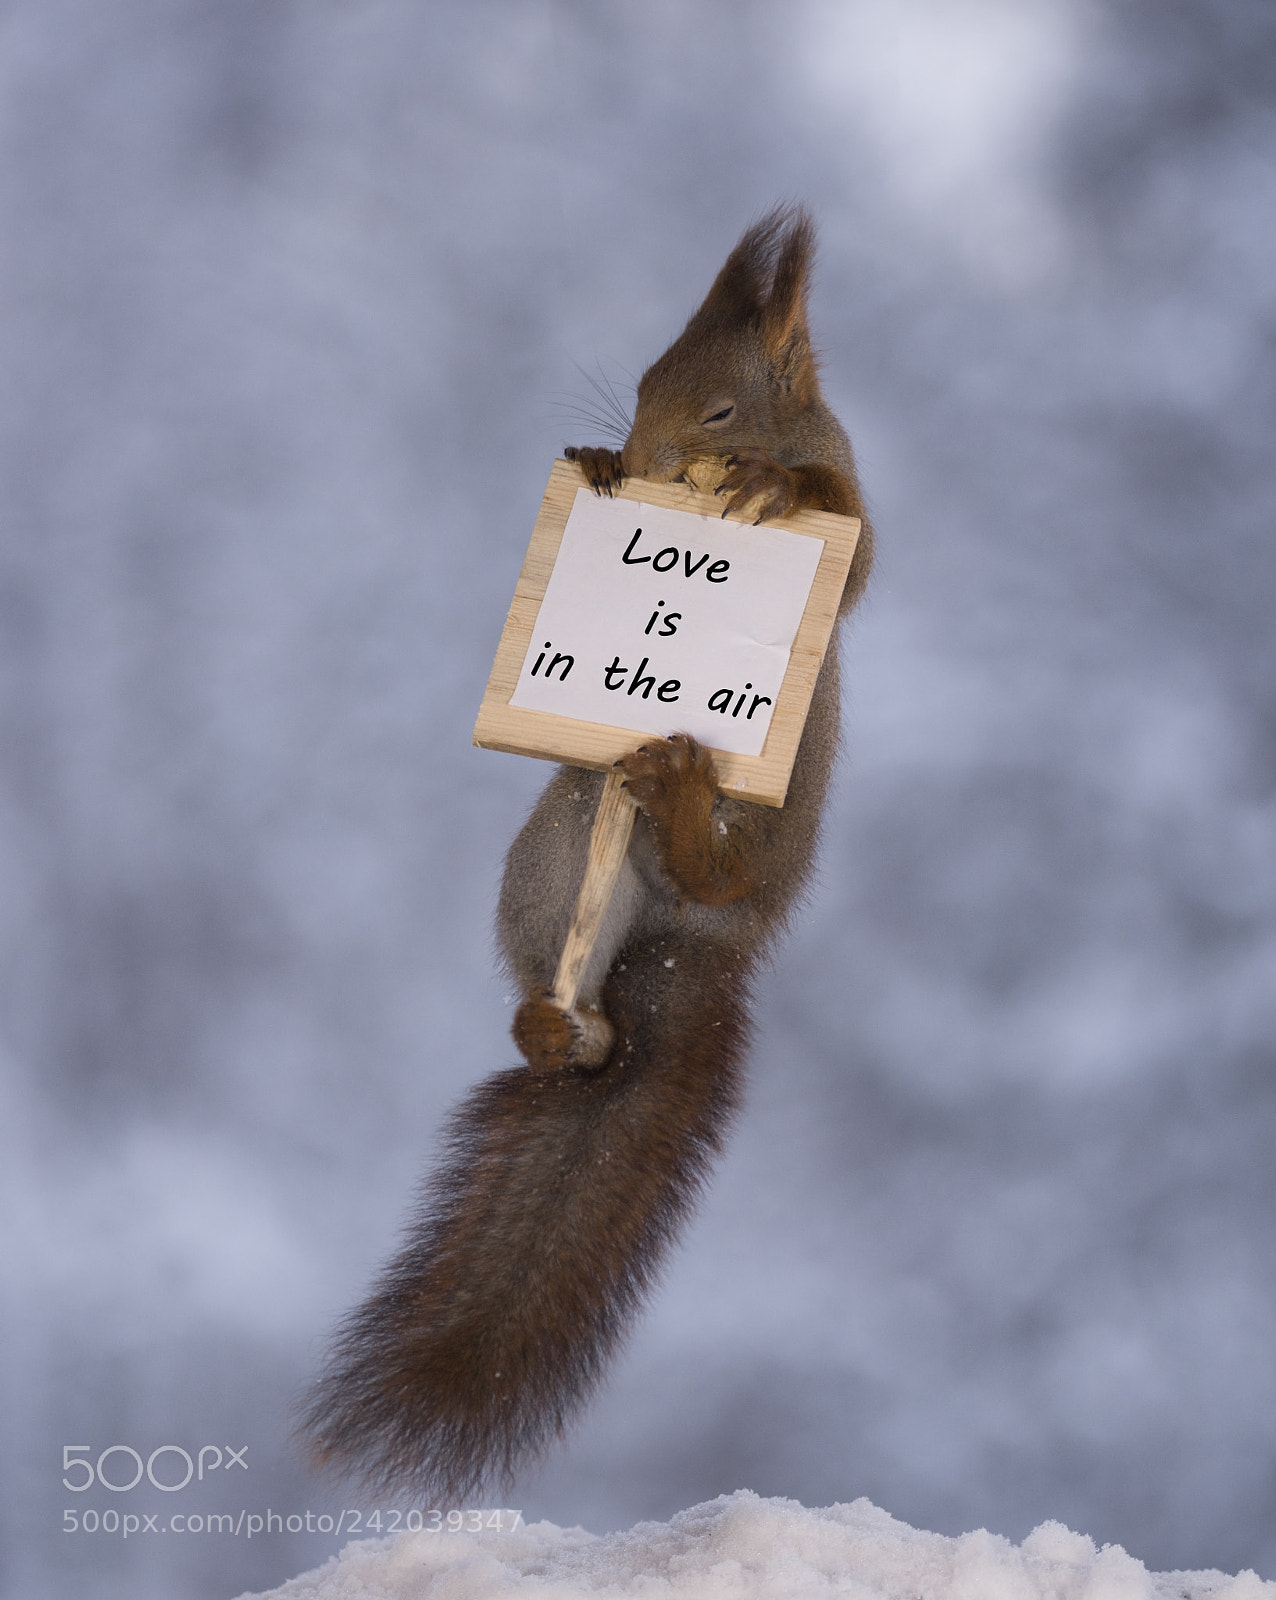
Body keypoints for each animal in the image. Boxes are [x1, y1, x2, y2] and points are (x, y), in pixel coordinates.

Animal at [299, 204, 874, 1501]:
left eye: (717, 409)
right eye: (643, 385)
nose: (646, 455)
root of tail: (693, 940)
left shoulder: (853, 505)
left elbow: (849, 536)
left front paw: (769, 485)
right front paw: (596, 463)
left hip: (768, 822)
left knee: (720, 859)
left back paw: (685, 806)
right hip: (557, 846)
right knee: (578, 1020)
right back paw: (559, 1025)